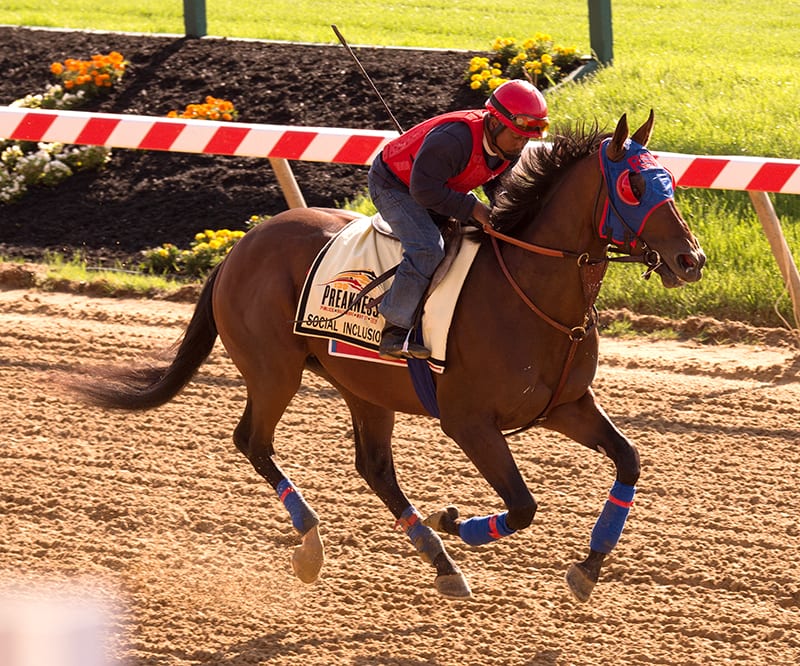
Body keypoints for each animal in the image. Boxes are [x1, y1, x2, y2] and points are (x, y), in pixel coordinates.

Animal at [69, 110, 708, 600]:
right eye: (634, 187)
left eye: (670, 181)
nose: (691, 260)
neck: (530, 291)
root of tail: (241, 245)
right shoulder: (467, 421)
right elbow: (524, 505)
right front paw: (458, 520)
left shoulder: (565, 405)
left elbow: (629, 461)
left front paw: (588, 566)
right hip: (274, 370)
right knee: (253, 441)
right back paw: (313, 545)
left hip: (362, 385)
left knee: (374, 467)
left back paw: (440, 563)